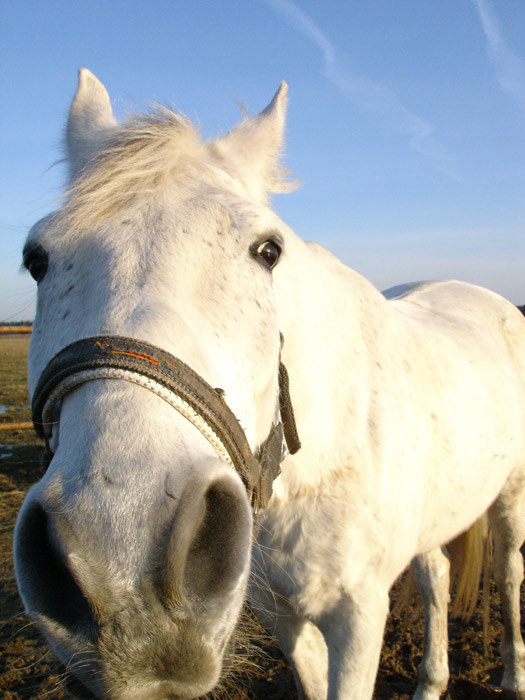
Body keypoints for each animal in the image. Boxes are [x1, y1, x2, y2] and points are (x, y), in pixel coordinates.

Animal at [14, 67, 520, 700]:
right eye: (37, 260)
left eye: (267, 251)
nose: (121, 556)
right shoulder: (281, 614)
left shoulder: (360, 616)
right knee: (436, 578)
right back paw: (431, 681)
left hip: (510, 500)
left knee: (509, 576)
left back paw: (512, 672)